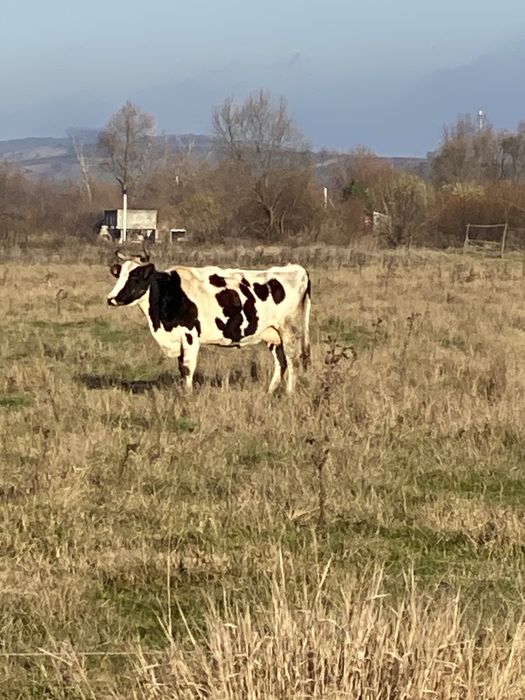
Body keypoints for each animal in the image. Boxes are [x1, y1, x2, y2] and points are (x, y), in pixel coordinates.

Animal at [106, 249, 311, 394]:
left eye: (135, 277)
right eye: (120, 275)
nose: (111, 298)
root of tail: (296, 269)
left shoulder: (189, 335)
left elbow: (187, 368)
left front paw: (187, 395)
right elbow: (181, 368)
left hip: (290, 330)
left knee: (293, 360)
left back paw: (289, 393)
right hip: (272, 334)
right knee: (281, 362)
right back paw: (270, 392)